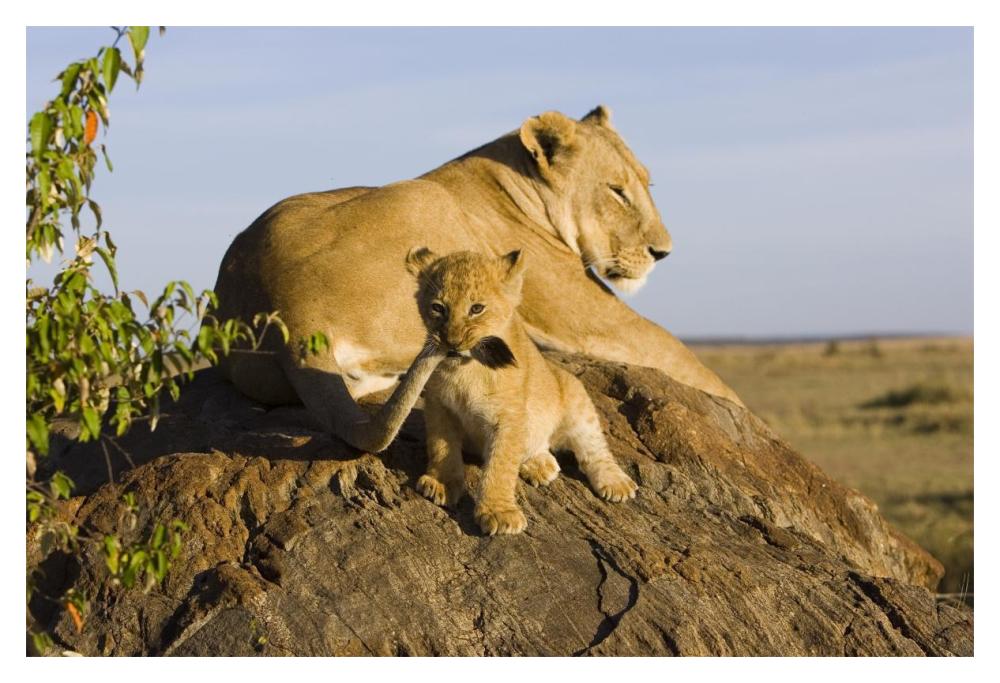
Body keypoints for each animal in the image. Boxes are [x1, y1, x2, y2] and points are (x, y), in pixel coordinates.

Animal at [213, 105, 742, 452]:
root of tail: (290, 313)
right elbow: (682, 357)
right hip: (422, 199)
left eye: (647, 185)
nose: (663, 252)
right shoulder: (585, 314)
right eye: (617, 191)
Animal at [406, 247, 637, 535]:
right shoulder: (439, 406)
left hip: (576, 399)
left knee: (595, 449)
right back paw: (540, 466)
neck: (466, 369)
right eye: (438, 308)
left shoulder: (509, 416)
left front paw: (499, 513)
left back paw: (616, 483)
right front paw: (441, 483)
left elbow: (501, 465)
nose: (452, 342)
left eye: (477, 308)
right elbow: (441, 446)